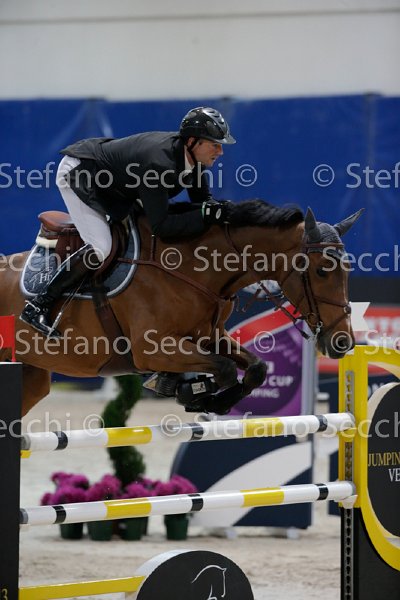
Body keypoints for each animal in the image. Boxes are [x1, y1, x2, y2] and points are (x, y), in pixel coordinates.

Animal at [0, 200, 362, 416]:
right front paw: (197, 394)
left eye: (347, 268)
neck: (193, 266)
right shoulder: (153, 348)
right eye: (322, 271)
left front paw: (207, 398)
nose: (343, 341)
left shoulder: (208, 337)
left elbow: (256, 367)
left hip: (32, 376)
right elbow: (224, 369)